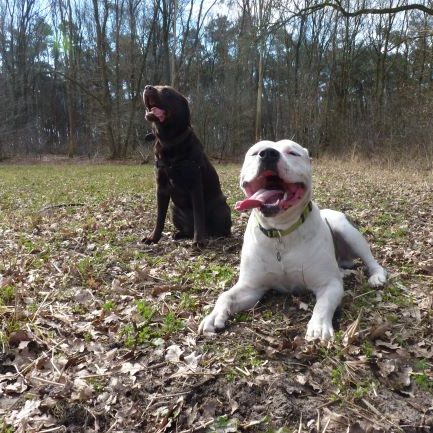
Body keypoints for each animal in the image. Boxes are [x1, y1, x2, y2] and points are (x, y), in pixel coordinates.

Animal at [142, 86, 231, 245]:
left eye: (166, 91)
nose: (147, 87)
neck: (169, 141)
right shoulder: (161, 188)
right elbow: (159, 218)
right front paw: (153, 238)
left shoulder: (195, 186)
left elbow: (198, 217)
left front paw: (198, 241)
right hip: (174, 210)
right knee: (187, 228)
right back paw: (179, 234)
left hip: (222, 210)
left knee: (220, 228)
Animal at [199, 140, 384, 340]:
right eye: (255, 152)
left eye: (293, 153)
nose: (268, 153)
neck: (281, 232)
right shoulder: (251, 287)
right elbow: (225, 295)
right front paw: (213, 316)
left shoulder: (329, 284)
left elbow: (323, 305)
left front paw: (319, 326)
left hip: (345, 229)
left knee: (371, 260)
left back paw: (377, 276)